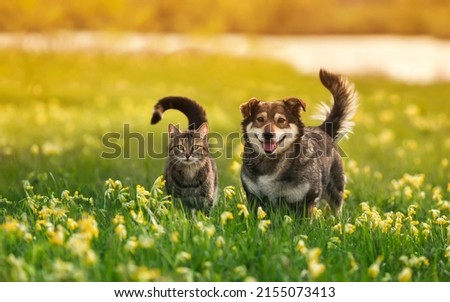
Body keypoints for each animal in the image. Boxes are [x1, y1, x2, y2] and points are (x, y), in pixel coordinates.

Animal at [239, 69, 358, 216]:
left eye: (281, 120)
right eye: (260, 119)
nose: (268, 135)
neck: (272, 161)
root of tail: (323, 129)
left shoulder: (307, 200)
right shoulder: (254, 197)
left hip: (336, 189)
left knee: (337, 209)